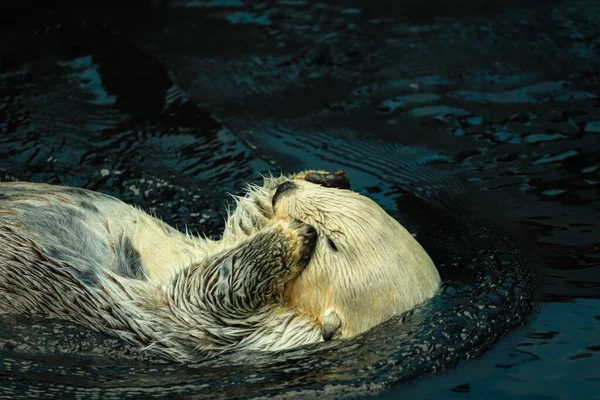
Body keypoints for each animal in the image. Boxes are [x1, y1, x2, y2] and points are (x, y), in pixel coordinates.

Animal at [0, 170, 440, 360]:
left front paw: (291, 235)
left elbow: (210, 290)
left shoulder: (239, 333)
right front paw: (318, 177)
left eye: (332, 243)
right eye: (354, 200)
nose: (289, 191)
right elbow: (244, 221)